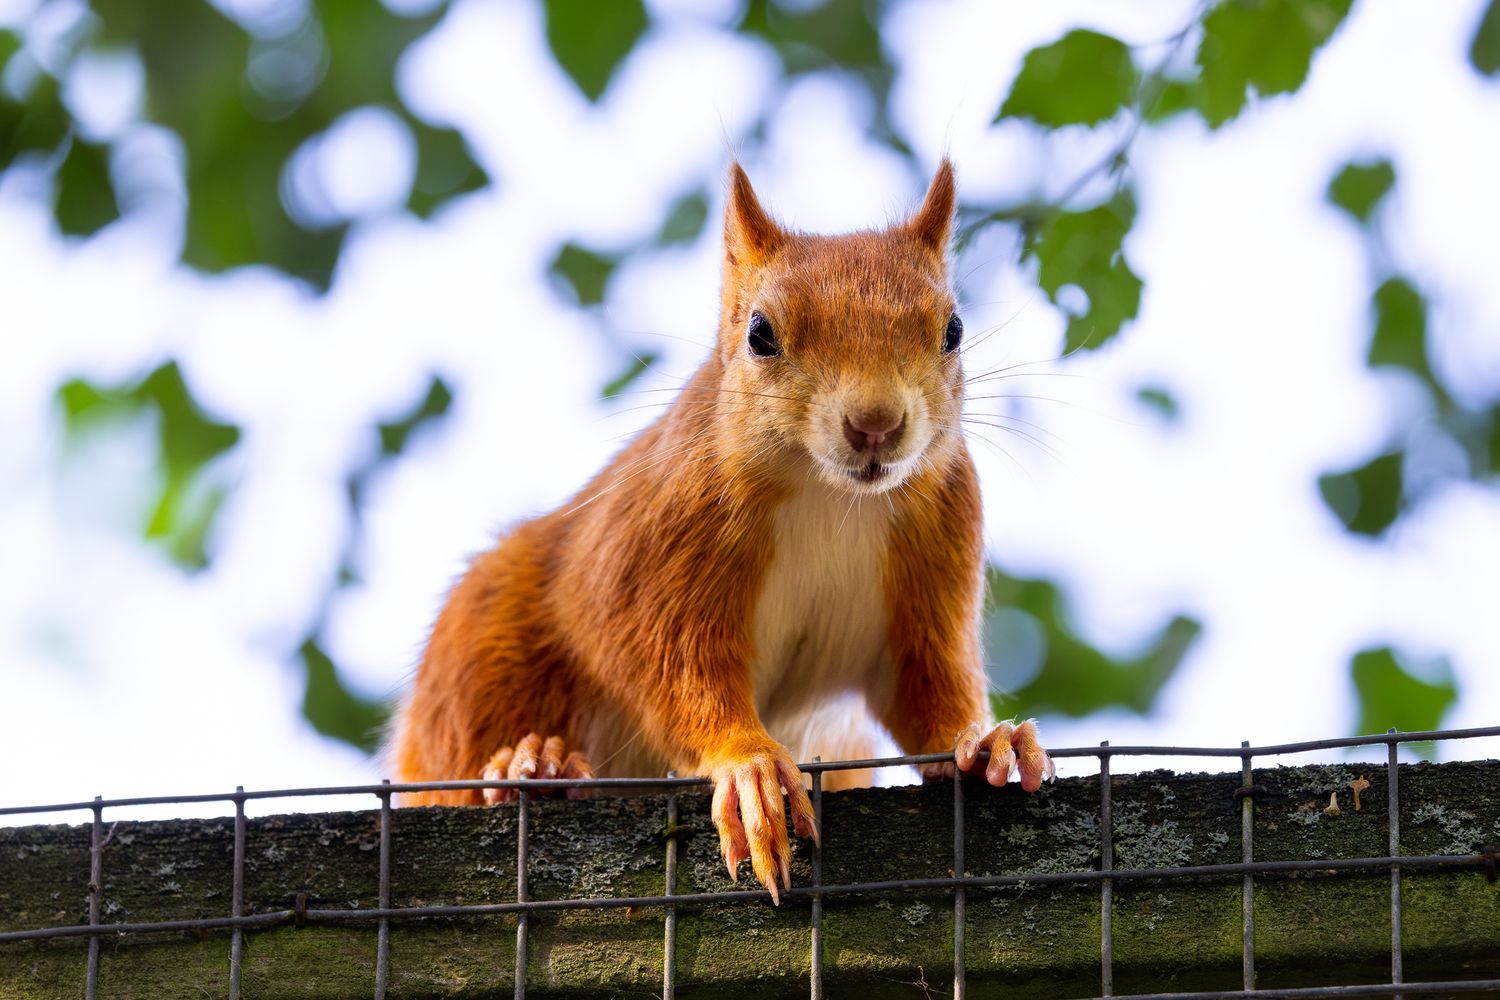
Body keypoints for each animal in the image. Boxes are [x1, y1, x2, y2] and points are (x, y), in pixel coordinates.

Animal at [389, 159, 1054, 902]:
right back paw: (532, 765)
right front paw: (749, 765)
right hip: (481, 658)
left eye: (954, 329)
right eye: (760, 333)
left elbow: (927, 685)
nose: (876, 425)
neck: (830, 495)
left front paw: (986, 740)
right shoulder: (658, 551)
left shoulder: (936, 547)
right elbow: (672, 668)